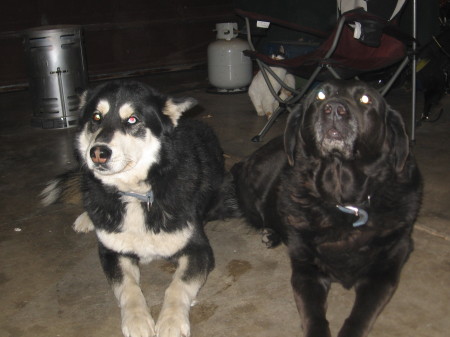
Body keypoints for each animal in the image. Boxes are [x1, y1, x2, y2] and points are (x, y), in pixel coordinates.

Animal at [41, 80, 232, 336]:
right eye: (96, 117)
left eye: (132, 119)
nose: (98, 153)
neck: (136, 193)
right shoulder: (112, 252)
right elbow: (128, 288)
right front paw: (137, 320)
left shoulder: (198, 249)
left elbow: (177, 285)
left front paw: (171, 321)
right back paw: (87, 218)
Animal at [232, 79, 422, 336]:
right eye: (320, 96)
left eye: (366, 99)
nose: (334, 109)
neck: (344, 201)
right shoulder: (306, 272)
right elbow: (313, 315)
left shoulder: (383, 272)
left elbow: (360, 317)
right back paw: (271, 233)